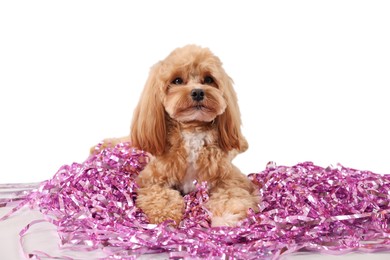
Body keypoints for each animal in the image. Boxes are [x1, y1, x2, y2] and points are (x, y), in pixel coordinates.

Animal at [94, 44, 258, 225]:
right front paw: (166, 217)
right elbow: (161, 197)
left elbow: (232, 197)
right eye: (177, 81)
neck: (192, 131)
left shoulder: (231, 179)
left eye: (208, 79)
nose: (198, 92)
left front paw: (226, 218)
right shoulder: (151, 180)